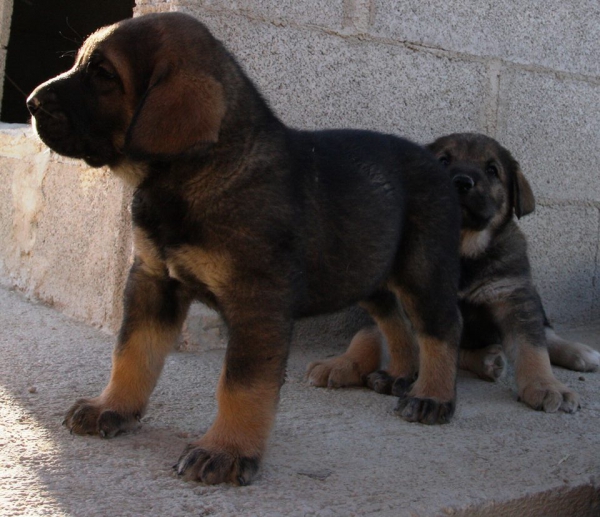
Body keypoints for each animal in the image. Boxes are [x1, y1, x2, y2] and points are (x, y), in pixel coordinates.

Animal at [25, 14, 462, 486]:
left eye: (104, 74)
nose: (29, 103)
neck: (196, 172)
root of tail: (436, 162)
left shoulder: (258, 301)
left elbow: (242, 385)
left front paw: (226, 449)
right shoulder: (153, 282)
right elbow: (131, 352)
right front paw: (112, 407)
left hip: (423, 269)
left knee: (440, 329)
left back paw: (432, 396)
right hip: (364, 267)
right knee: (392, 317)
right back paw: (399, 375)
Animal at [310, 132, 596, 412]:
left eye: (492, 170)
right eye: (444, 161)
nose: (461, 182)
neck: (461, 249)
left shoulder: (513, 296)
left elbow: (532, 347)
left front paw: (546, 386)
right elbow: (370, 335)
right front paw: (343, 363)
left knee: (546, 332)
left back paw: (580, 353)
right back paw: (487, 360)